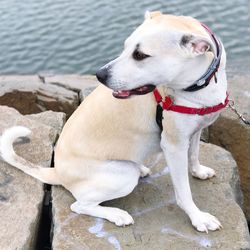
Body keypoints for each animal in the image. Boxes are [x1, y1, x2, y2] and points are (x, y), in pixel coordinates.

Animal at [0, 10, 228, 233]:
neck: (198, 85)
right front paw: (198, 217)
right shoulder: (173, 146)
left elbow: (194, 154)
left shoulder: (195, 131)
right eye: (125, 47)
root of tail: (56, 172)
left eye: (140, 55)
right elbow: (184, 191)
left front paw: (198, 171)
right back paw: (116, 214)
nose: (99, 75)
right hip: (123, 175)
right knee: (79, 205)